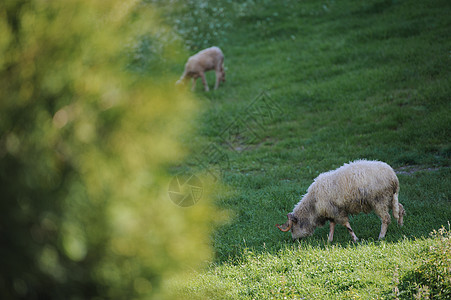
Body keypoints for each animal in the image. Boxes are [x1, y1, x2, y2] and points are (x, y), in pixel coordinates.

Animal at [276, 159, 406, 241]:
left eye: (292, 228)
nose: (294, 240)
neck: (313, 205)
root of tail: (393, 177)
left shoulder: (337, 211)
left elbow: (346, 225)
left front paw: (355, 239)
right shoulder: (331, 212)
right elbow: (332, 226)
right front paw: (329, 240)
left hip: (379, 200)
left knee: (386, 218)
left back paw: (381, 237)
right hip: (390, 199)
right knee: (400, 208)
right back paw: (400, 226)